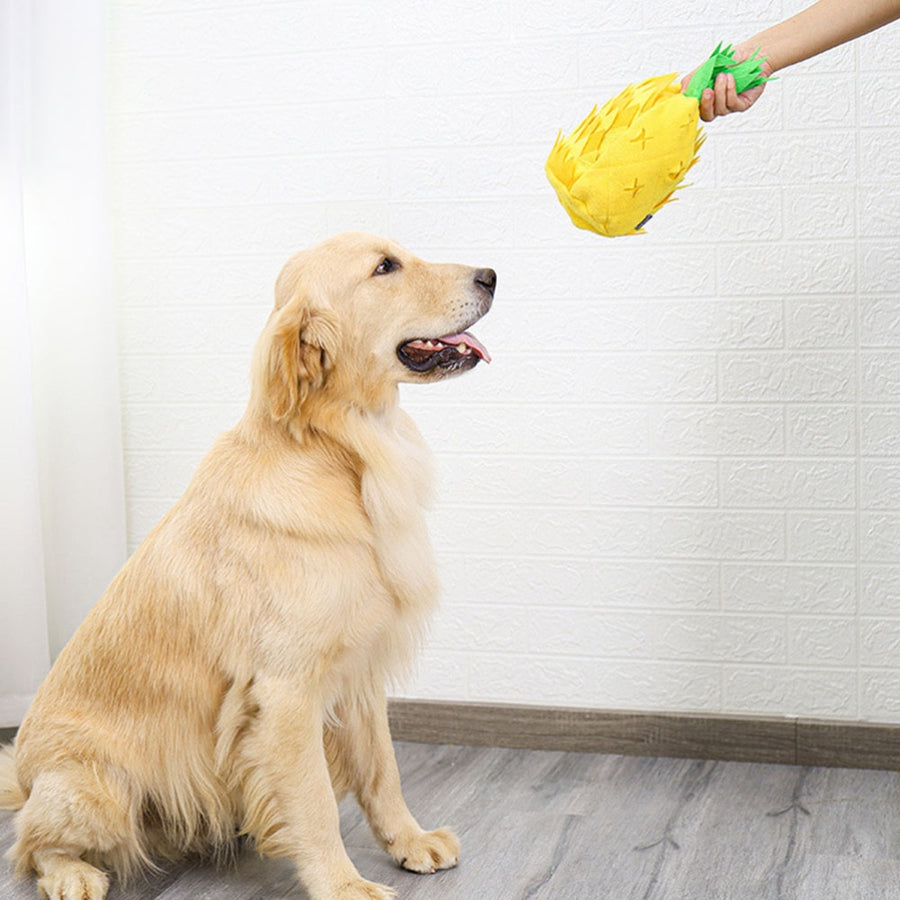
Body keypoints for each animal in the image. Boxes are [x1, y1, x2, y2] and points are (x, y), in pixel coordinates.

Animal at [0, 234, 492, 900]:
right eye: (385, 267)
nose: (491, 275)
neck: (343, 453)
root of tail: (24, 776)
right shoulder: (286, 692)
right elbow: (314, 802)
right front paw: (342, 883)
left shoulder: (360, 671)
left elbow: (383, 770)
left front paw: (409, 841)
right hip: (96, 786)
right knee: (31, 842)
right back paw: (72, 874)